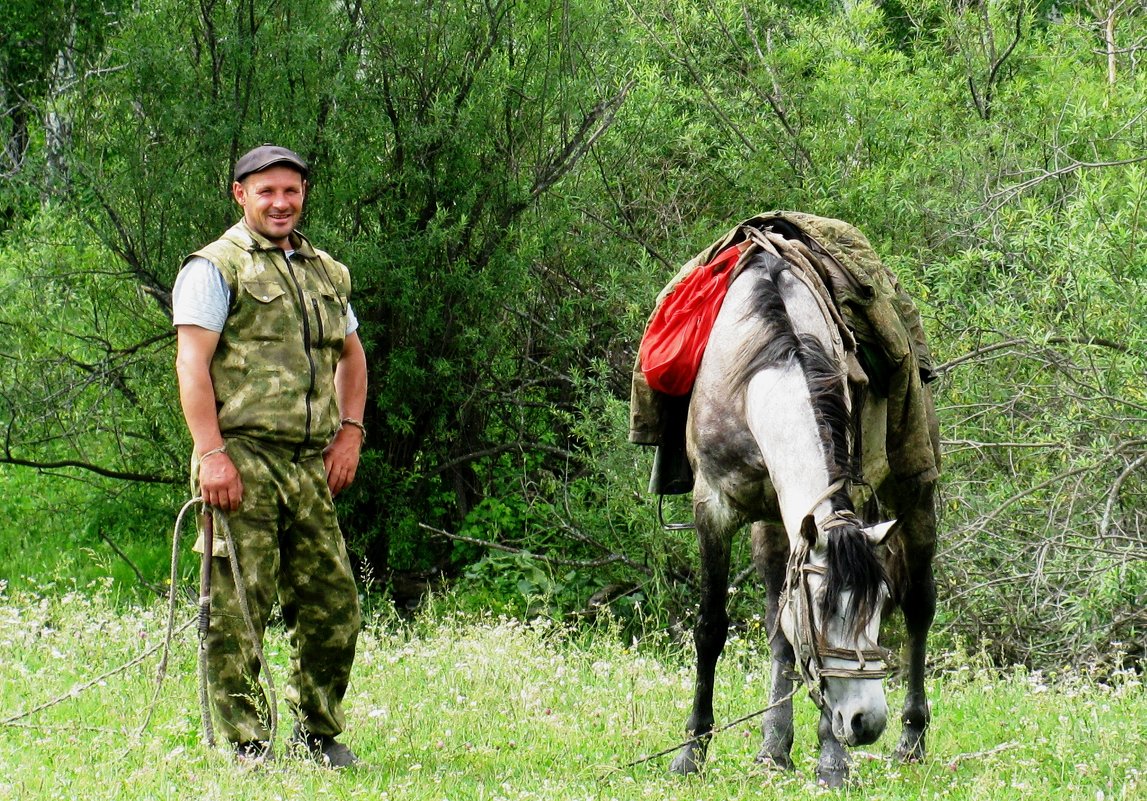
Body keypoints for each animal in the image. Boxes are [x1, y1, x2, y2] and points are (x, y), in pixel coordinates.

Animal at [669, 246, 935, 784]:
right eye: (824, 611)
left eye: (878, 607)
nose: (867, 722)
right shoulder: (714, 508)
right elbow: (713, 628)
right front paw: (693, 749)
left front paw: (832, 759)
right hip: (774, 525)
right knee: (778, 632)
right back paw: (773, 747)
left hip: (915, 490)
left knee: (921, 606)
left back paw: (912, 739)